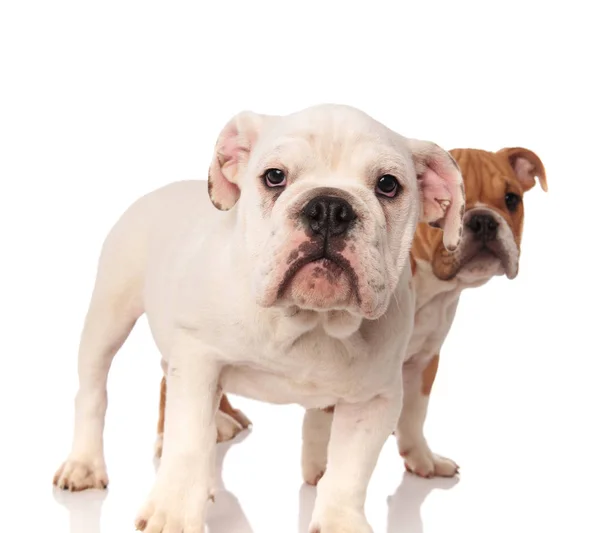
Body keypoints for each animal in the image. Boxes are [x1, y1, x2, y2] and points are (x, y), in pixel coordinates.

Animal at [54, 102, 464, 528]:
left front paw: (339, 522)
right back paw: (84, 465)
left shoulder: (375, 399)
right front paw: (173, 513)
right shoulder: (199, 360)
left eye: (388, 185)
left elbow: (349, 472)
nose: (330, 207)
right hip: (109, 314)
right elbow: (188, 442)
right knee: (93, 390)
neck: (306, 320)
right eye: (274, 177)